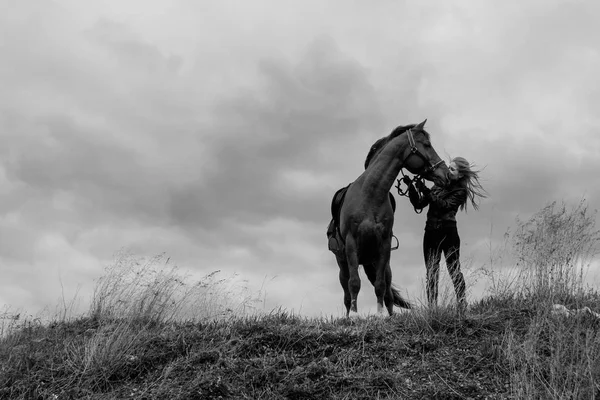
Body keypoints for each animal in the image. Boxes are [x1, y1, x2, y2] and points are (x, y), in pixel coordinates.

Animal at [336, 119, 448, 316]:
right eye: (427, 144)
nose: (446, 172)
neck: (369, 196)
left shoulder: (384, 244)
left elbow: (380, 285)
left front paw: (381, 315)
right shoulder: (351, 244)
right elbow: (354, 283)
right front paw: (355, 316)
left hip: (383, 264)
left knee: (387, 291)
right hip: (343, 264)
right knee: (347, 291)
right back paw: (349, 313)